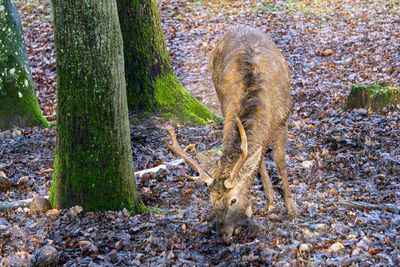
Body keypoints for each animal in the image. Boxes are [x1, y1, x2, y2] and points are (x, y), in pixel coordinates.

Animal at [164, 26, 296, 238]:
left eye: (233, 200)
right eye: (211, 200)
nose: (222, 233)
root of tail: (236, 26)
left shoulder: (283, 122)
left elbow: (280, 162)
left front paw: (291, 208)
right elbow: (257, 159)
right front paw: (252, 207)